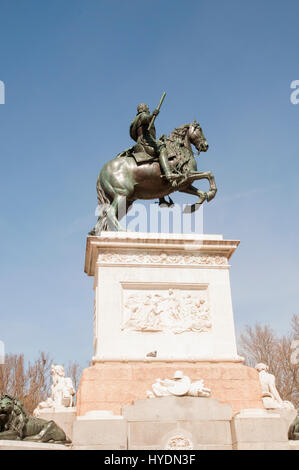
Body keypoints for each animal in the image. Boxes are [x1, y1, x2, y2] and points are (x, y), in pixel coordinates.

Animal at [89, 120, 218, 232]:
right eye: (199, 129)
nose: (205, 145)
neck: (178, 151)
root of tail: (102, 171)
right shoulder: (187, 175)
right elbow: (209, 174)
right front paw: (211, 193)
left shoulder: (183, 186)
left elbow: (201, 193)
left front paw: (194, 206)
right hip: (122, 194)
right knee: (110, 213)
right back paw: (123, 231)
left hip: (126, 201)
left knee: (104, 219)